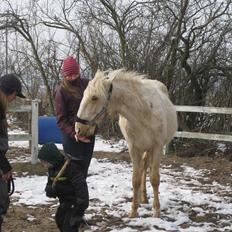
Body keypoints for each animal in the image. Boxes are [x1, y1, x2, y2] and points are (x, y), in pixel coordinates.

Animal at [75, 69, 177, 218]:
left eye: (94, 97)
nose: (78, 129)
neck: (143, 112)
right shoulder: (133, 148)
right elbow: (135, 179)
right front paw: (134, 211)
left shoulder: (157, 148)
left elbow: (154, 179)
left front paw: (156, 211)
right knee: (142, 169)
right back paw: (142, 198)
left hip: (150, 149)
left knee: (146, 169)